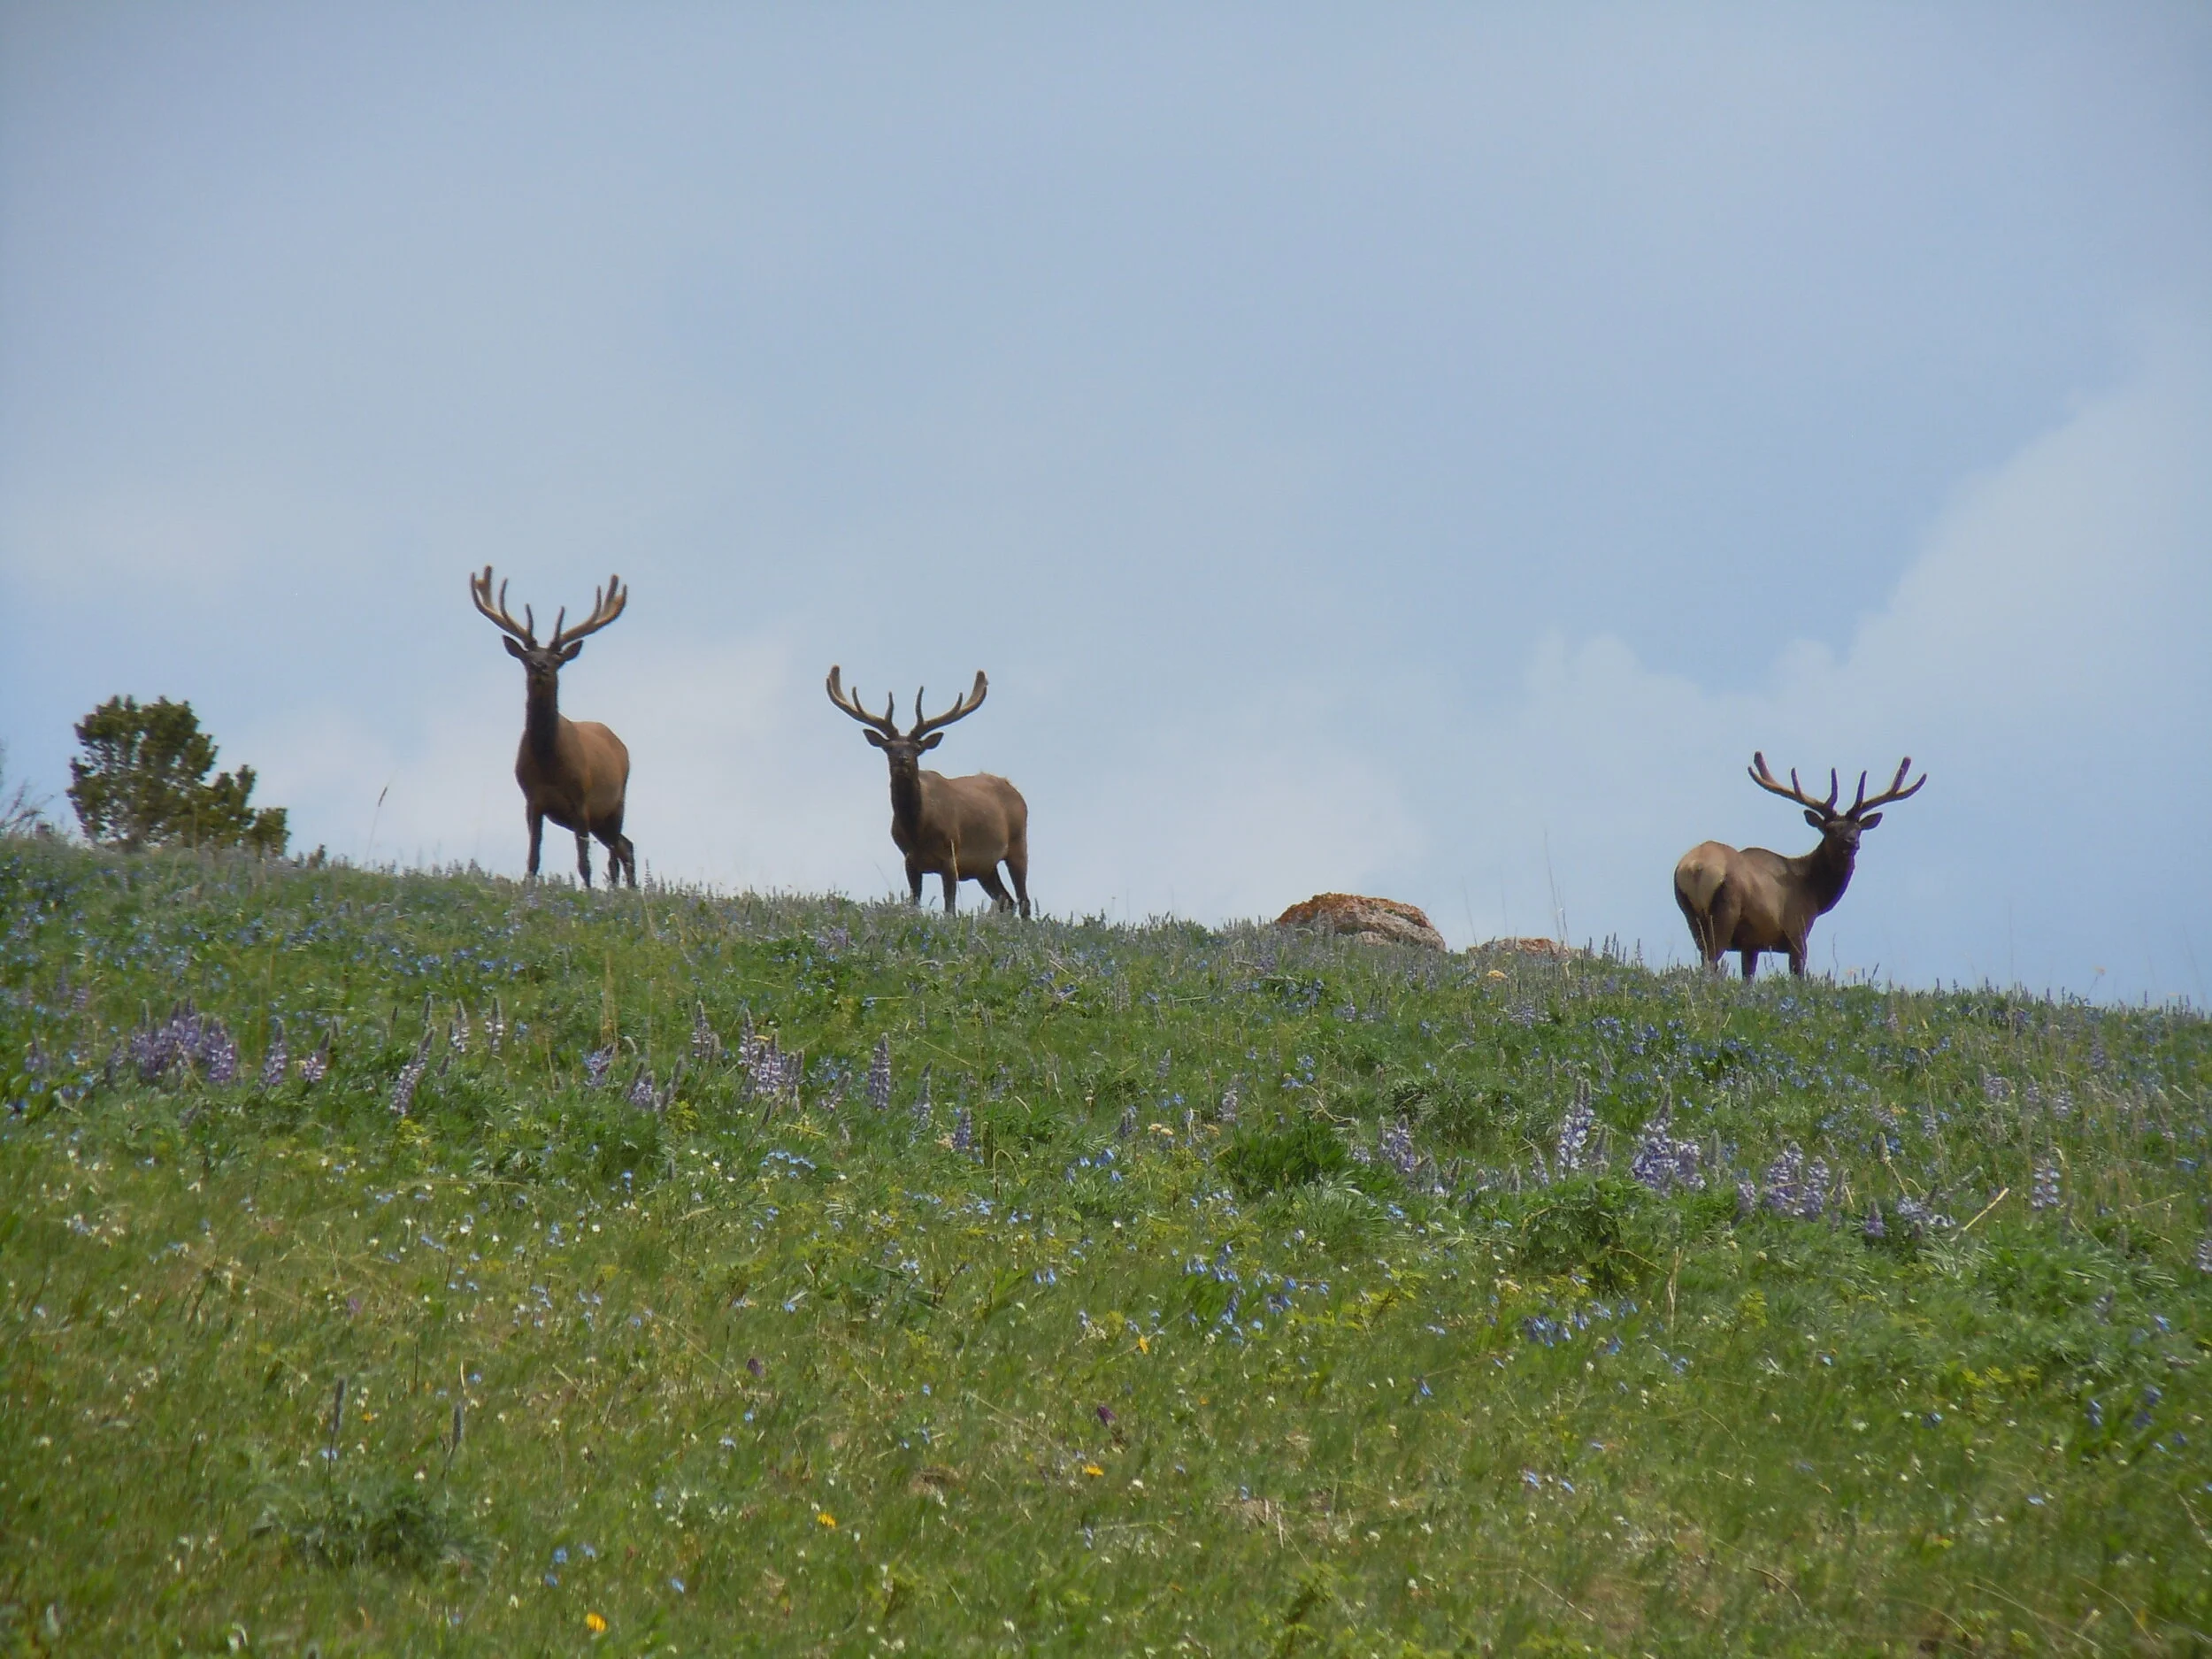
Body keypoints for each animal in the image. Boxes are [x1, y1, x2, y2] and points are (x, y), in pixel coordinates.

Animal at [470, 565, 637, 889]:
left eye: (557, 659)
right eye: (527, 657)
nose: (540, 666)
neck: (550, 764)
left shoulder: (581, 799)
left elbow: (584, 863)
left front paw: (587, 892)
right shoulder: (532, 800)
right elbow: (533, 860)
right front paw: (529, 890)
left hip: (616, 802)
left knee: (616, 853)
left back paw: (621, 890)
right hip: (601, 820)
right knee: (626, 846)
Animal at [826, 666, 1030, 917]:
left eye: (917, 748)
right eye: (889, 747)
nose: (902, 760)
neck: (918, 830)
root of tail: (1016, 791)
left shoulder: (950, 855)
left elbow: (949, 907)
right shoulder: (910, 860)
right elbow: (914, 902)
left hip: (1018, 843)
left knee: (1024, 900)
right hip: (985, 867)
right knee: (1006, 900)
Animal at [1674, 753, 1926, 979]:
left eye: (1858, 829)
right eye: (1830, 829)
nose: (1851, 842)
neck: (1815, 894)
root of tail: (1696, 868)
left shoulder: (1751, 943)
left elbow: (1748, 978)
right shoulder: (1797, 932)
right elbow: (1798, 977)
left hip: (1690, 915)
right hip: (1727, 909)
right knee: (1711, 961)